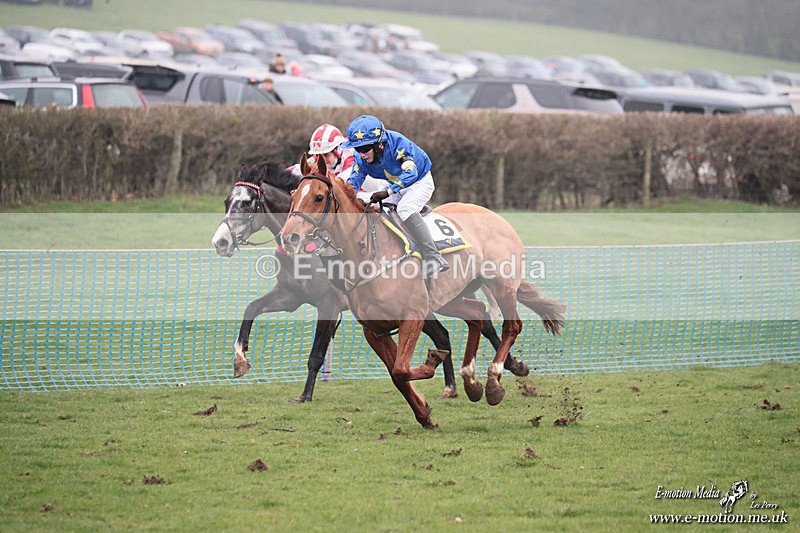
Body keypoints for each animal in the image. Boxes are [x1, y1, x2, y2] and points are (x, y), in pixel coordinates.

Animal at [211, 157, 531, 403]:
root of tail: (494, 216)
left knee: (501, 324)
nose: (220, 242)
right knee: (468, 322)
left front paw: (305, 395)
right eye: (227, 201)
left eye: (246, 203)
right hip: (447, 298)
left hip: (493, 286)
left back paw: (500, 372)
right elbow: (251, 309)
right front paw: (240, 360)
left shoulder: (329, 303)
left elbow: (316, 353)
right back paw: (467, 381)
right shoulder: (291, 296)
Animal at [279, 155, 566, 428]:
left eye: (318, 197)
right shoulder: (375, 330)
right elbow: (397, 375)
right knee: (477, 313)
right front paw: (425, 414)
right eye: (293, 195)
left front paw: (433, 363)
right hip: (450, 298)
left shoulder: (413, 316)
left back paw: (494, 381)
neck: (369, 253)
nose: (288, 237)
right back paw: (471, 381)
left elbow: (401, 369)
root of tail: (496, 216)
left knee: (511, 326)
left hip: (501, 285)